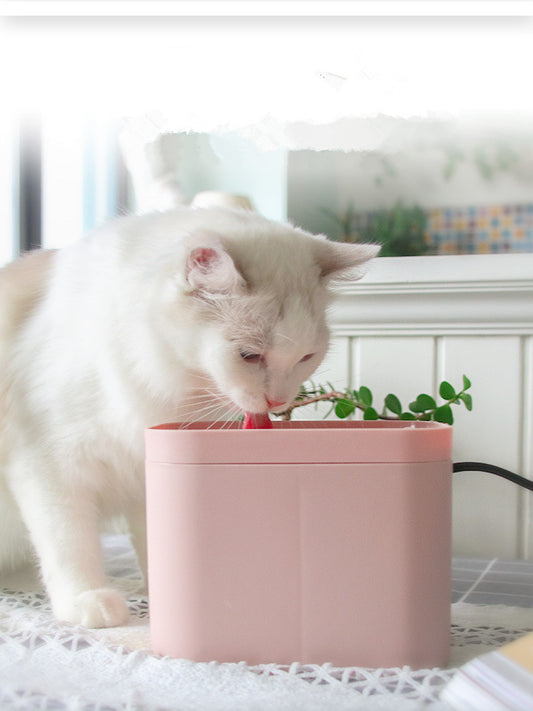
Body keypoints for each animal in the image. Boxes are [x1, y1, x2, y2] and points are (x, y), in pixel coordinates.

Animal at [0, 207, 378, 628]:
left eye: (306, 357)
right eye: (249, 355)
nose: (279, 401)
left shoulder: (144, 470)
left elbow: (153, 538)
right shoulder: (50, 465)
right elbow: (69, 542)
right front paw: (87, 599)